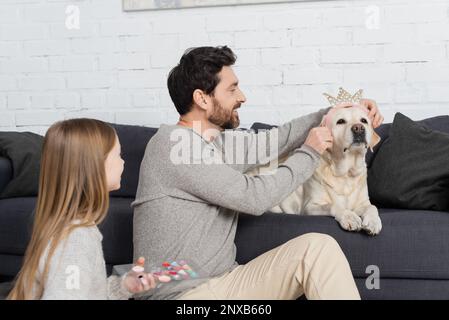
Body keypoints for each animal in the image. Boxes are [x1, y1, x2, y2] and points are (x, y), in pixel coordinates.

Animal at [250, 105, 380, 235]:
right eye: (341, 121)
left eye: (364, 121)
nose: (358, 128)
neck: (345, 174)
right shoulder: (310, 207)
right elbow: (333, 205)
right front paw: (350, 217)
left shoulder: (363, 202)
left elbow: (372, 207)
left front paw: (373, 222)